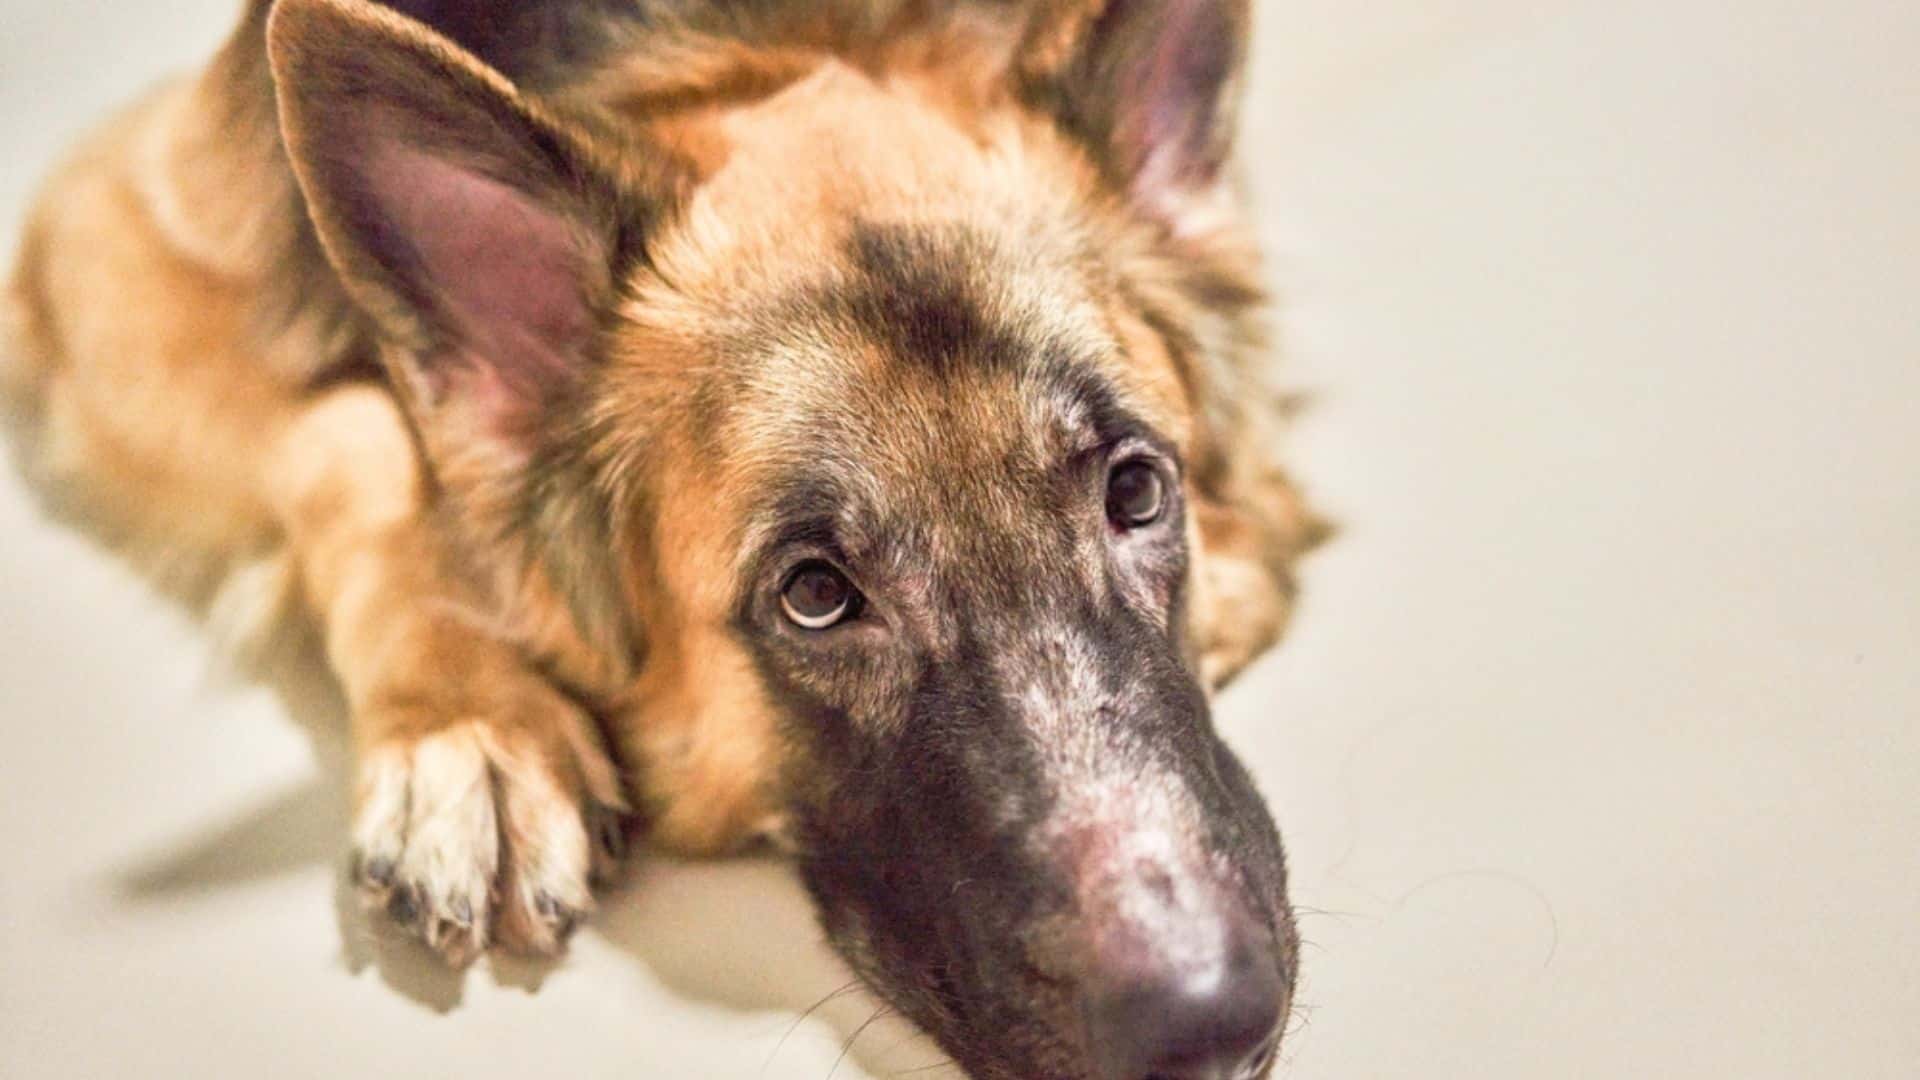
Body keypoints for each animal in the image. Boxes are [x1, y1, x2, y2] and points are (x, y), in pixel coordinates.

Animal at [3, 2, 1320, 1076]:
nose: (1209, 1022)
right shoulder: (104, 242)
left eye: (1135, 492)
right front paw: (471, 727)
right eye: (815, 595)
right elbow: (351, 433)